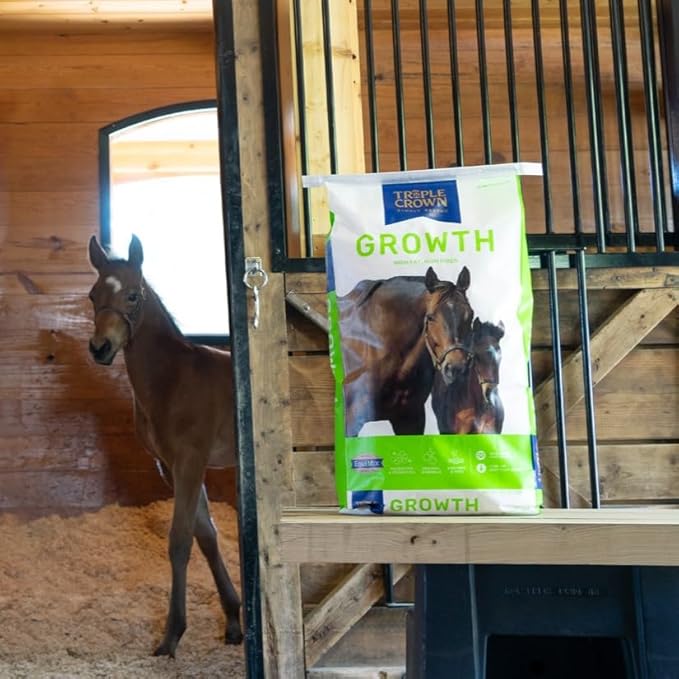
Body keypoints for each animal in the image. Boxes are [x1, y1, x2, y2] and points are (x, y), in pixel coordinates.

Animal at [87, 234, 242, 657]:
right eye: (93, 296)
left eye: (133, 296)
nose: (100, 348)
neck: (173, 379)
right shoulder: (171, 467)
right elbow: (206, 536)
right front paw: (234, 621)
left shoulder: (191, 460)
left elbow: (179, 541)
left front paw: (172, 635)